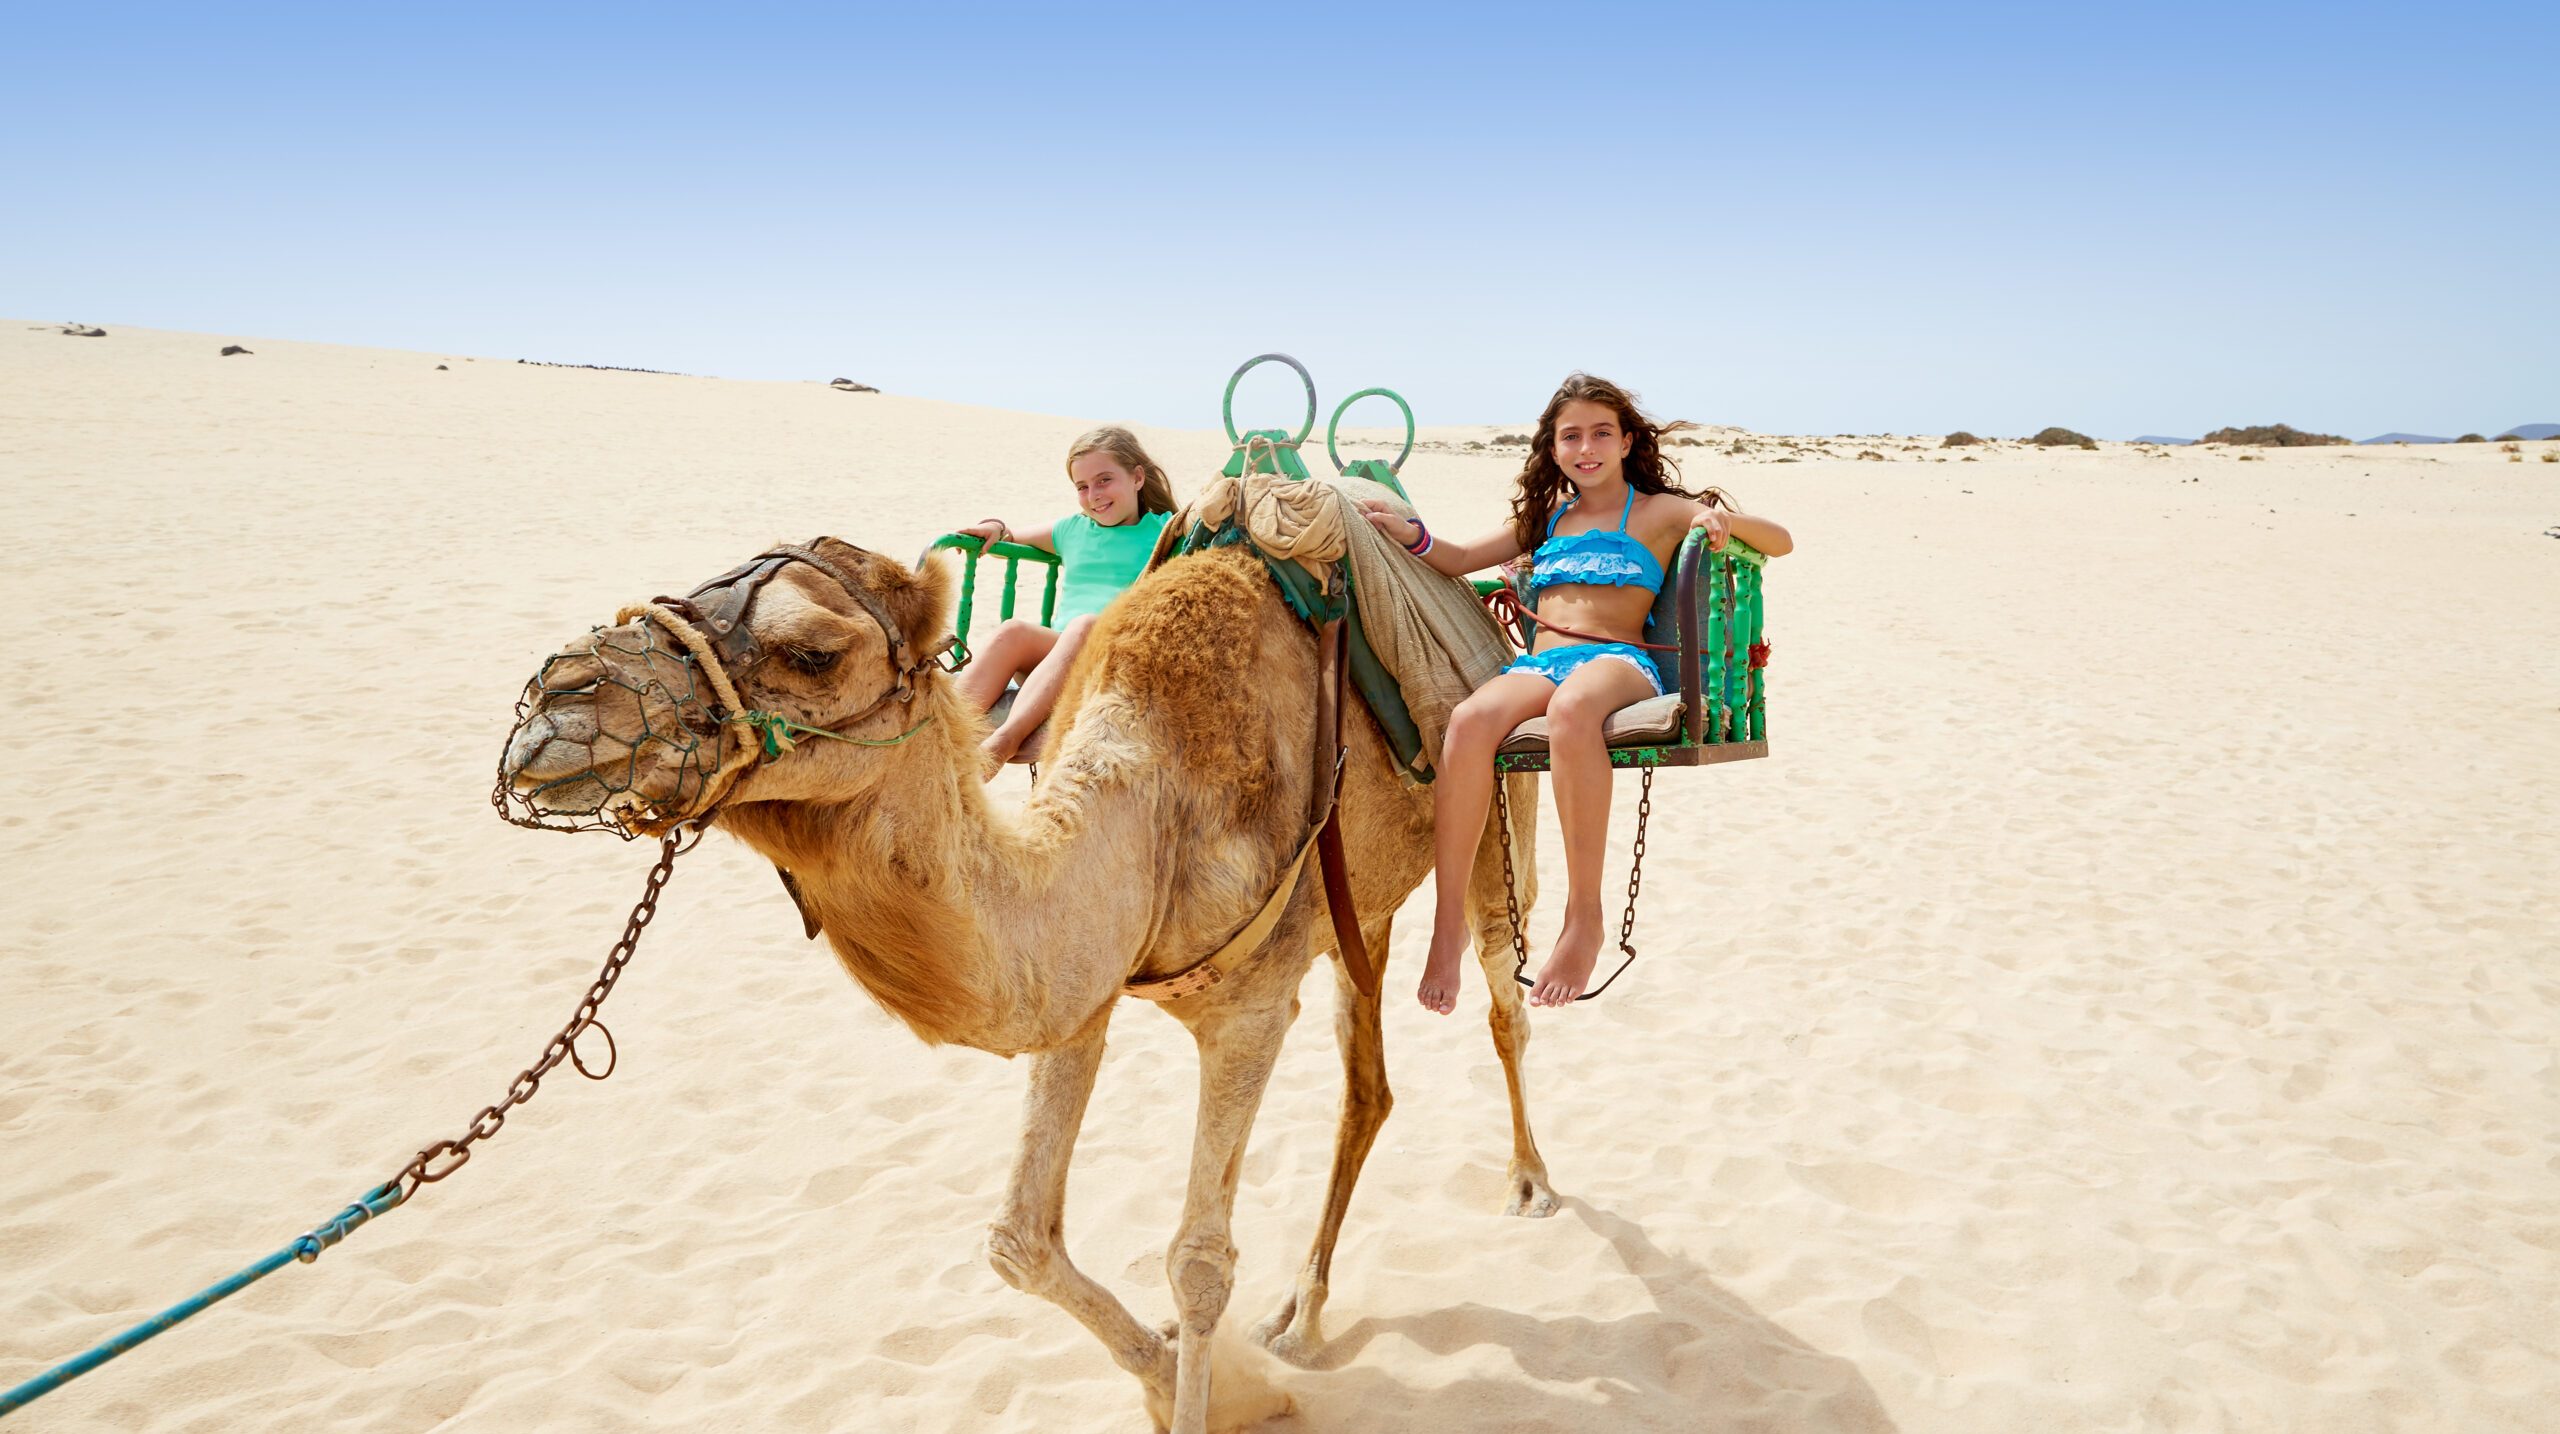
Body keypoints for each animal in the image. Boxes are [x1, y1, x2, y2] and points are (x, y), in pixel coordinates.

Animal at [499, 535, 1556, 1432]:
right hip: (1358, 906)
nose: (560, 697)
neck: (1155, 804)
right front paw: (1201, 1385)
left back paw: (1530, 1186)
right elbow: (1020, 1239)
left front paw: (1219, 1391)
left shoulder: (1251, 1007)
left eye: (813, 653)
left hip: (1496, 805)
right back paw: (1299, 1314)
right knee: (1366, 1081)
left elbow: (1198, 1262)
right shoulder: (1079, 991)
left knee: (1504, 998)